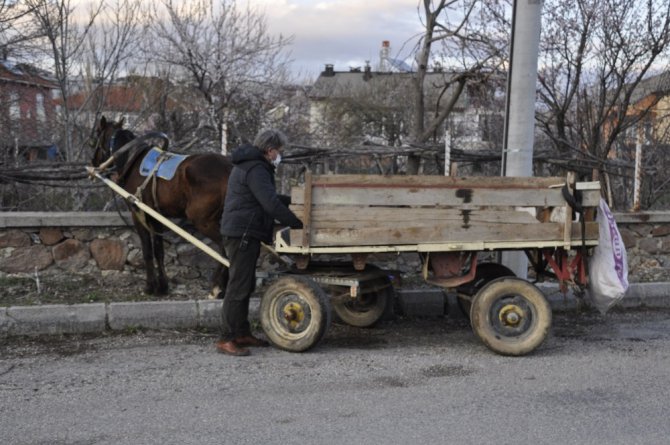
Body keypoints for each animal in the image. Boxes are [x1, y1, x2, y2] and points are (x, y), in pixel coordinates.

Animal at [90, 114, 234, 296]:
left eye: (97, 134)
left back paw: (218, 285)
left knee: (225, 250)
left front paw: (150, 285)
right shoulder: (157, 216)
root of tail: (230, 168)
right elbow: (159, 250)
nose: (93, 161)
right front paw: (163, 286)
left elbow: (147, 250)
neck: (132, 160)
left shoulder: (139, 213)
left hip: (202, 220)